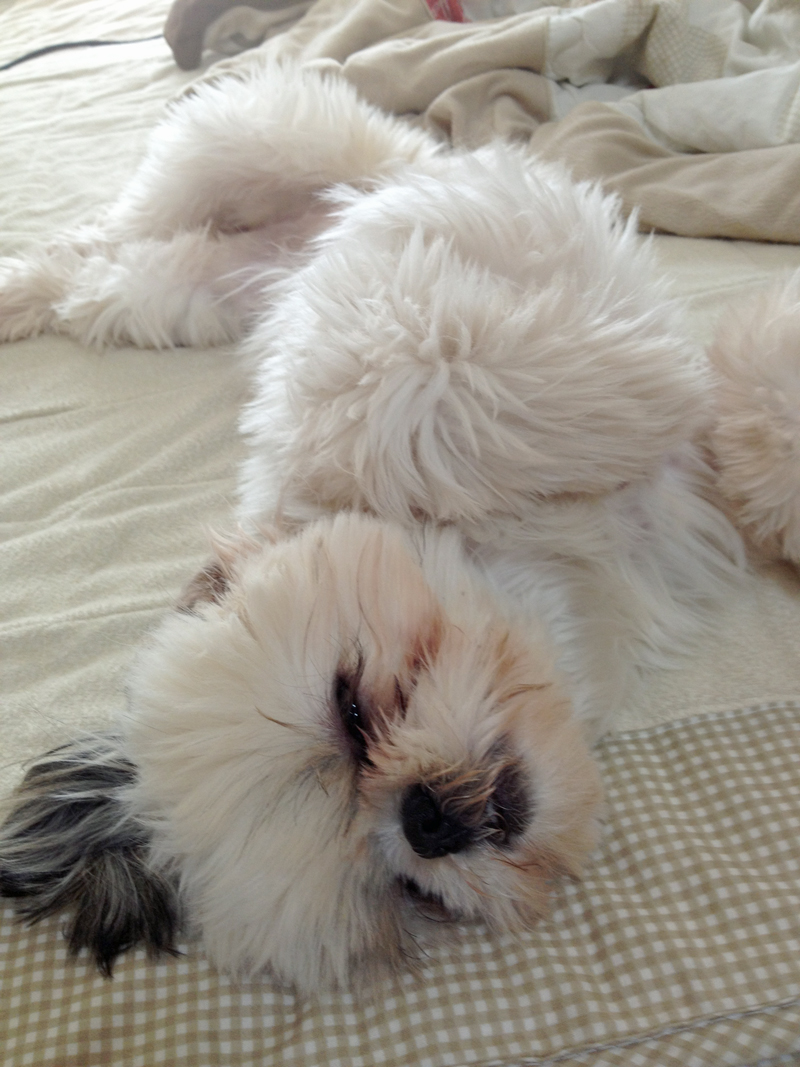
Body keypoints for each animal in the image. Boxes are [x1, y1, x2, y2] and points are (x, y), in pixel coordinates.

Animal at [1, 62, 799, 994]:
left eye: (352, 707)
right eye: (405, 886)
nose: (427, 820)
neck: (564, 577)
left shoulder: (426, 284)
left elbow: (420, 377)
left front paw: (641, 394)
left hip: (269, 146)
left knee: (139, 218)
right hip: (169, 298)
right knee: (95, 269)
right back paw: (23, 295)